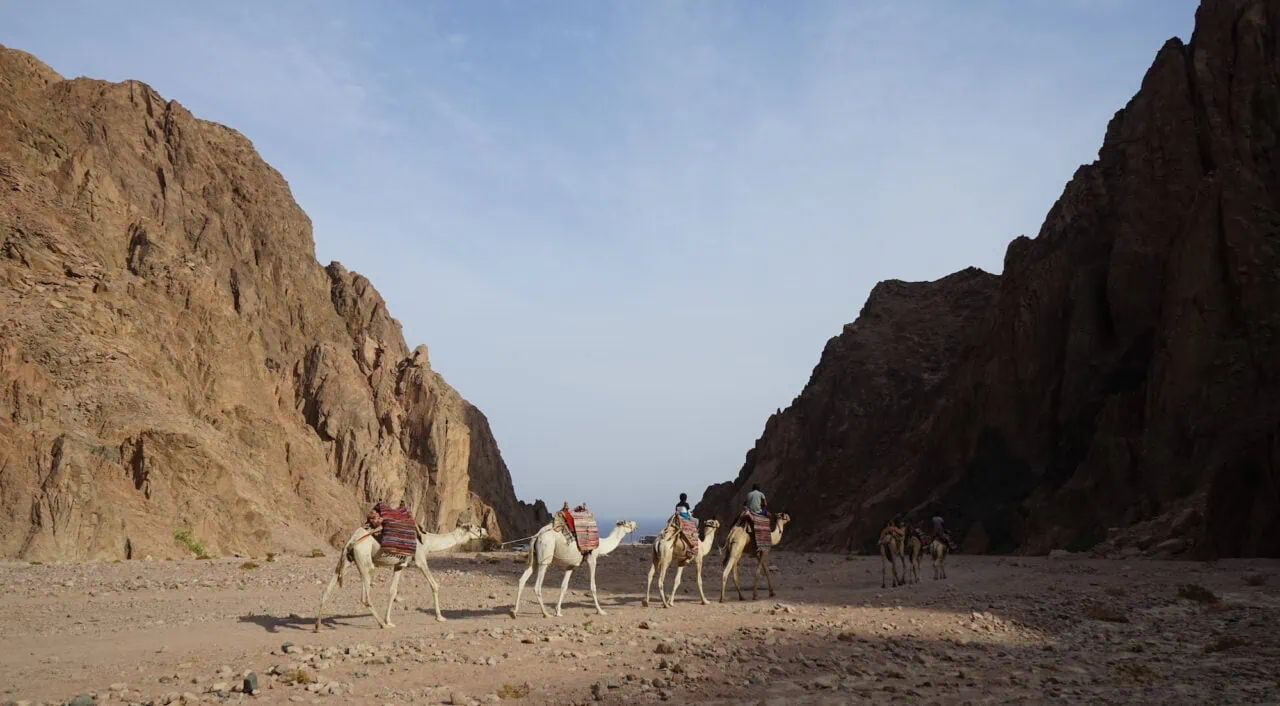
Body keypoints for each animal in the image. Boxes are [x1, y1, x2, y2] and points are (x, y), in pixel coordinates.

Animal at [314, 515, 488, 632]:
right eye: (475, 527)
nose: (485, 531)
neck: (427, 541)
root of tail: (351, 542)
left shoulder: (399, 565)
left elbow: (392, 591)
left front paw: (389, 620)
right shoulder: (420, 559)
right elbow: (434, 585)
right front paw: (440, 617)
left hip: (345, 561)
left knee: (326, 591)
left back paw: (317, 626)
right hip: (364, 562)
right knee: (365, 597)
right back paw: (382, 625)